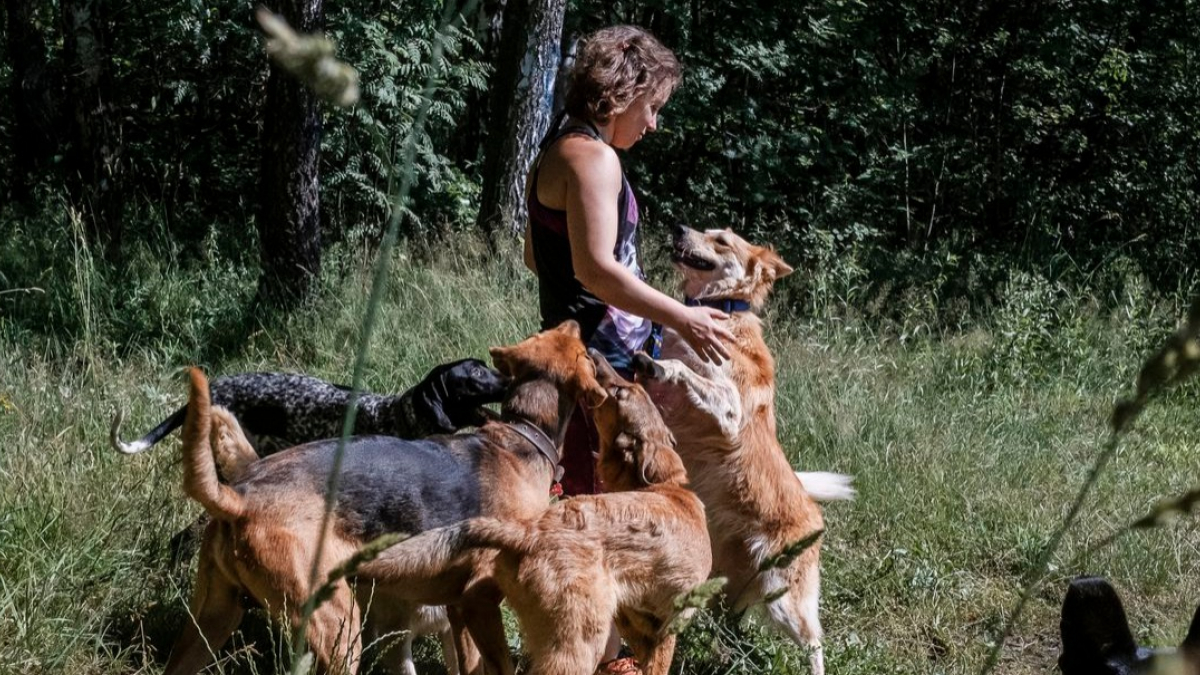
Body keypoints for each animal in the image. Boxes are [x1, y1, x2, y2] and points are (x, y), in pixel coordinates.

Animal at [164, 319, 604, 672]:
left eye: (545, 335)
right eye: (578, 347)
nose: (574, 319)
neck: (523, 437)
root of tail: (238, 498)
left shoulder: (457, 611)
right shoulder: (477, 601)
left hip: (211, 622)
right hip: (338, 629)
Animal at [360, 348, 705, 672]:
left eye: (621, 391)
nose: (594, 355)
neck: (668, 487)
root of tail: (529, 533)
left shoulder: (634, 625)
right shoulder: (664, 632)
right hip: (575, 646)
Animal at [638, 222, 854, 672]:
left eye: (722, 241)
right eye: (704, 229)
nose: (679, 227)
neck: (721, 309)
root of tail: (814, 514)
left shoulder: (729, 406)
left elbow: (682, 368)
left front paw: (662, 366)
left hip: (783, 597)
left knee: (814, 642)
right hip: (731, 584)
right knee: (730, 626)